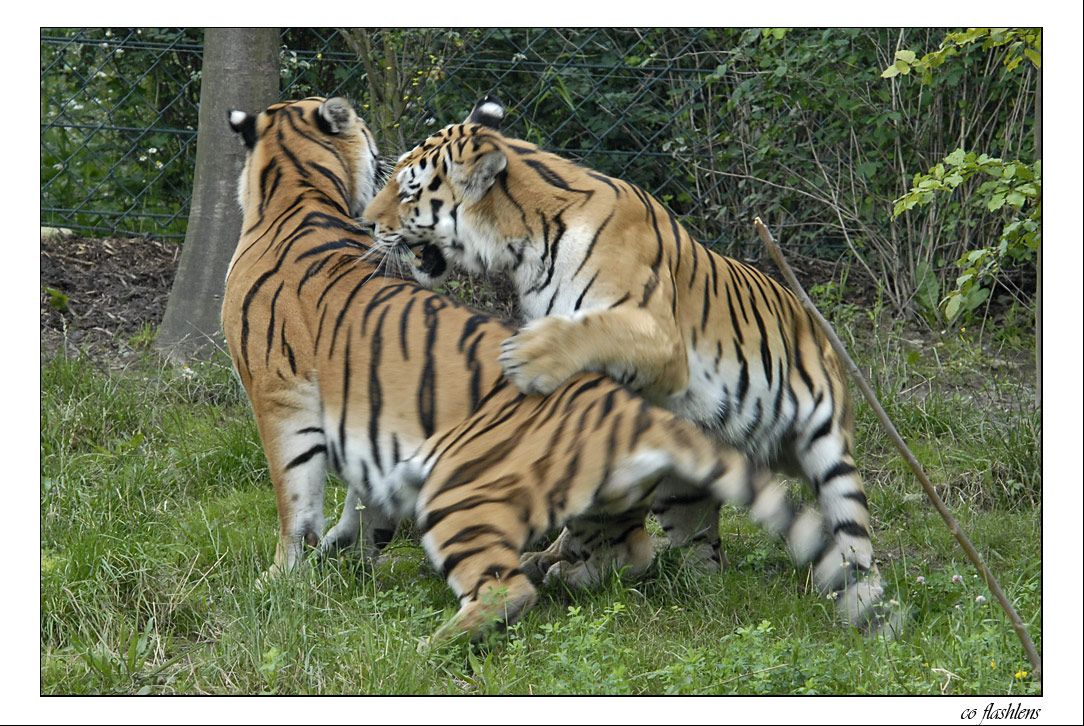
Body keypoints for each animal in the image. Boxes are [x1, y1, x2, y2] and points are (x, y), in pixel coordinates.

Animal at [220, 96, 835, 645]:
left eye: (407, 185)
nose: (371, 223)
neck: (295, 190)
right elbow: (361, 498)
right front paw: (347, 554)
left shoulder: (279, 399)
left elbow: (295, 498)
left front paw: (283, 576)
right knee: (641, 546)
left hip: (463, 487)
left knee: (513, 584)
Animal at [362, 98, 891, 632]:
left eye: (407, 191)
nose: (366, 223)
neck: (524, 243)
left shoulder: (659, 338)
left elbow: (594, 329)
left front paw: (525, 357)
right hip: (683, 487)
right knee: (701, 553)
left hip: (831, 455)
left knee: (852, 541)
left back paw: (868, 606)